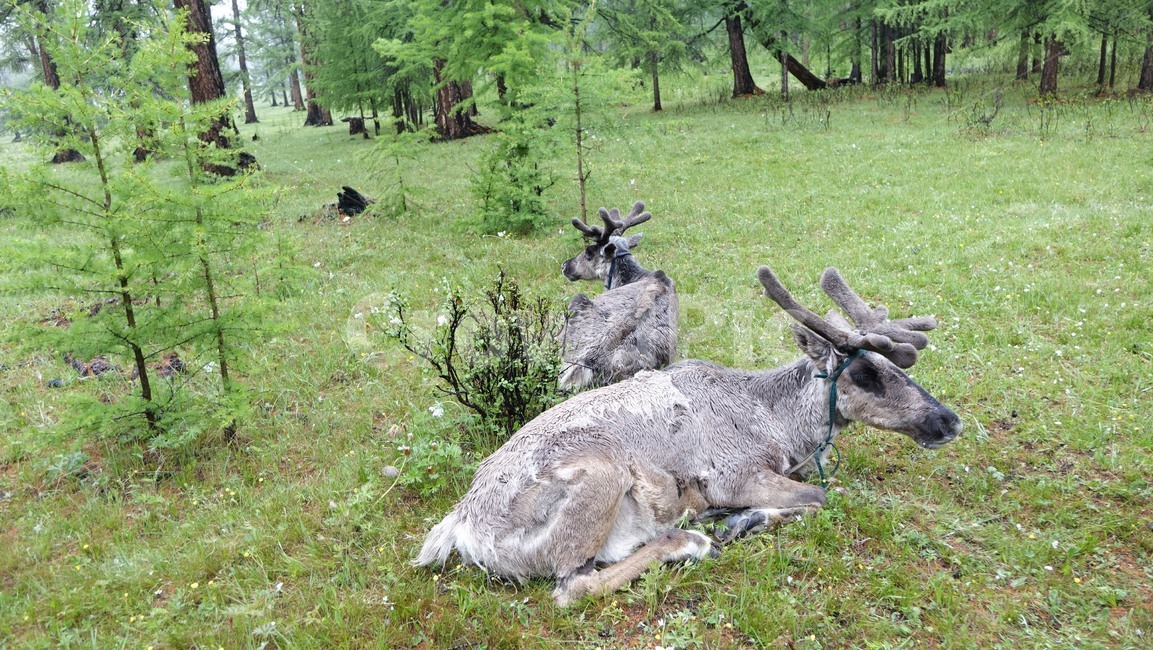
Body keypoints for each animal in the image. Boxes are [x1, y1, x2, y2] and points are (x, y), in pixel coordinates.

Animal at [416, 265, 963, 606]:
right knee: (572, 586)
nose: (949, 421)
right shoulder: (734, 474)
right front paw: (743, 519)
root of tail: (461, 526)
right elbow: (821, 496)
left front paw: (744, 519)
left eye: (900, 365)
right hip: (600, 475)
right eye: (866, 374)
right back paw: (689, 541)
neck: (781, 429)